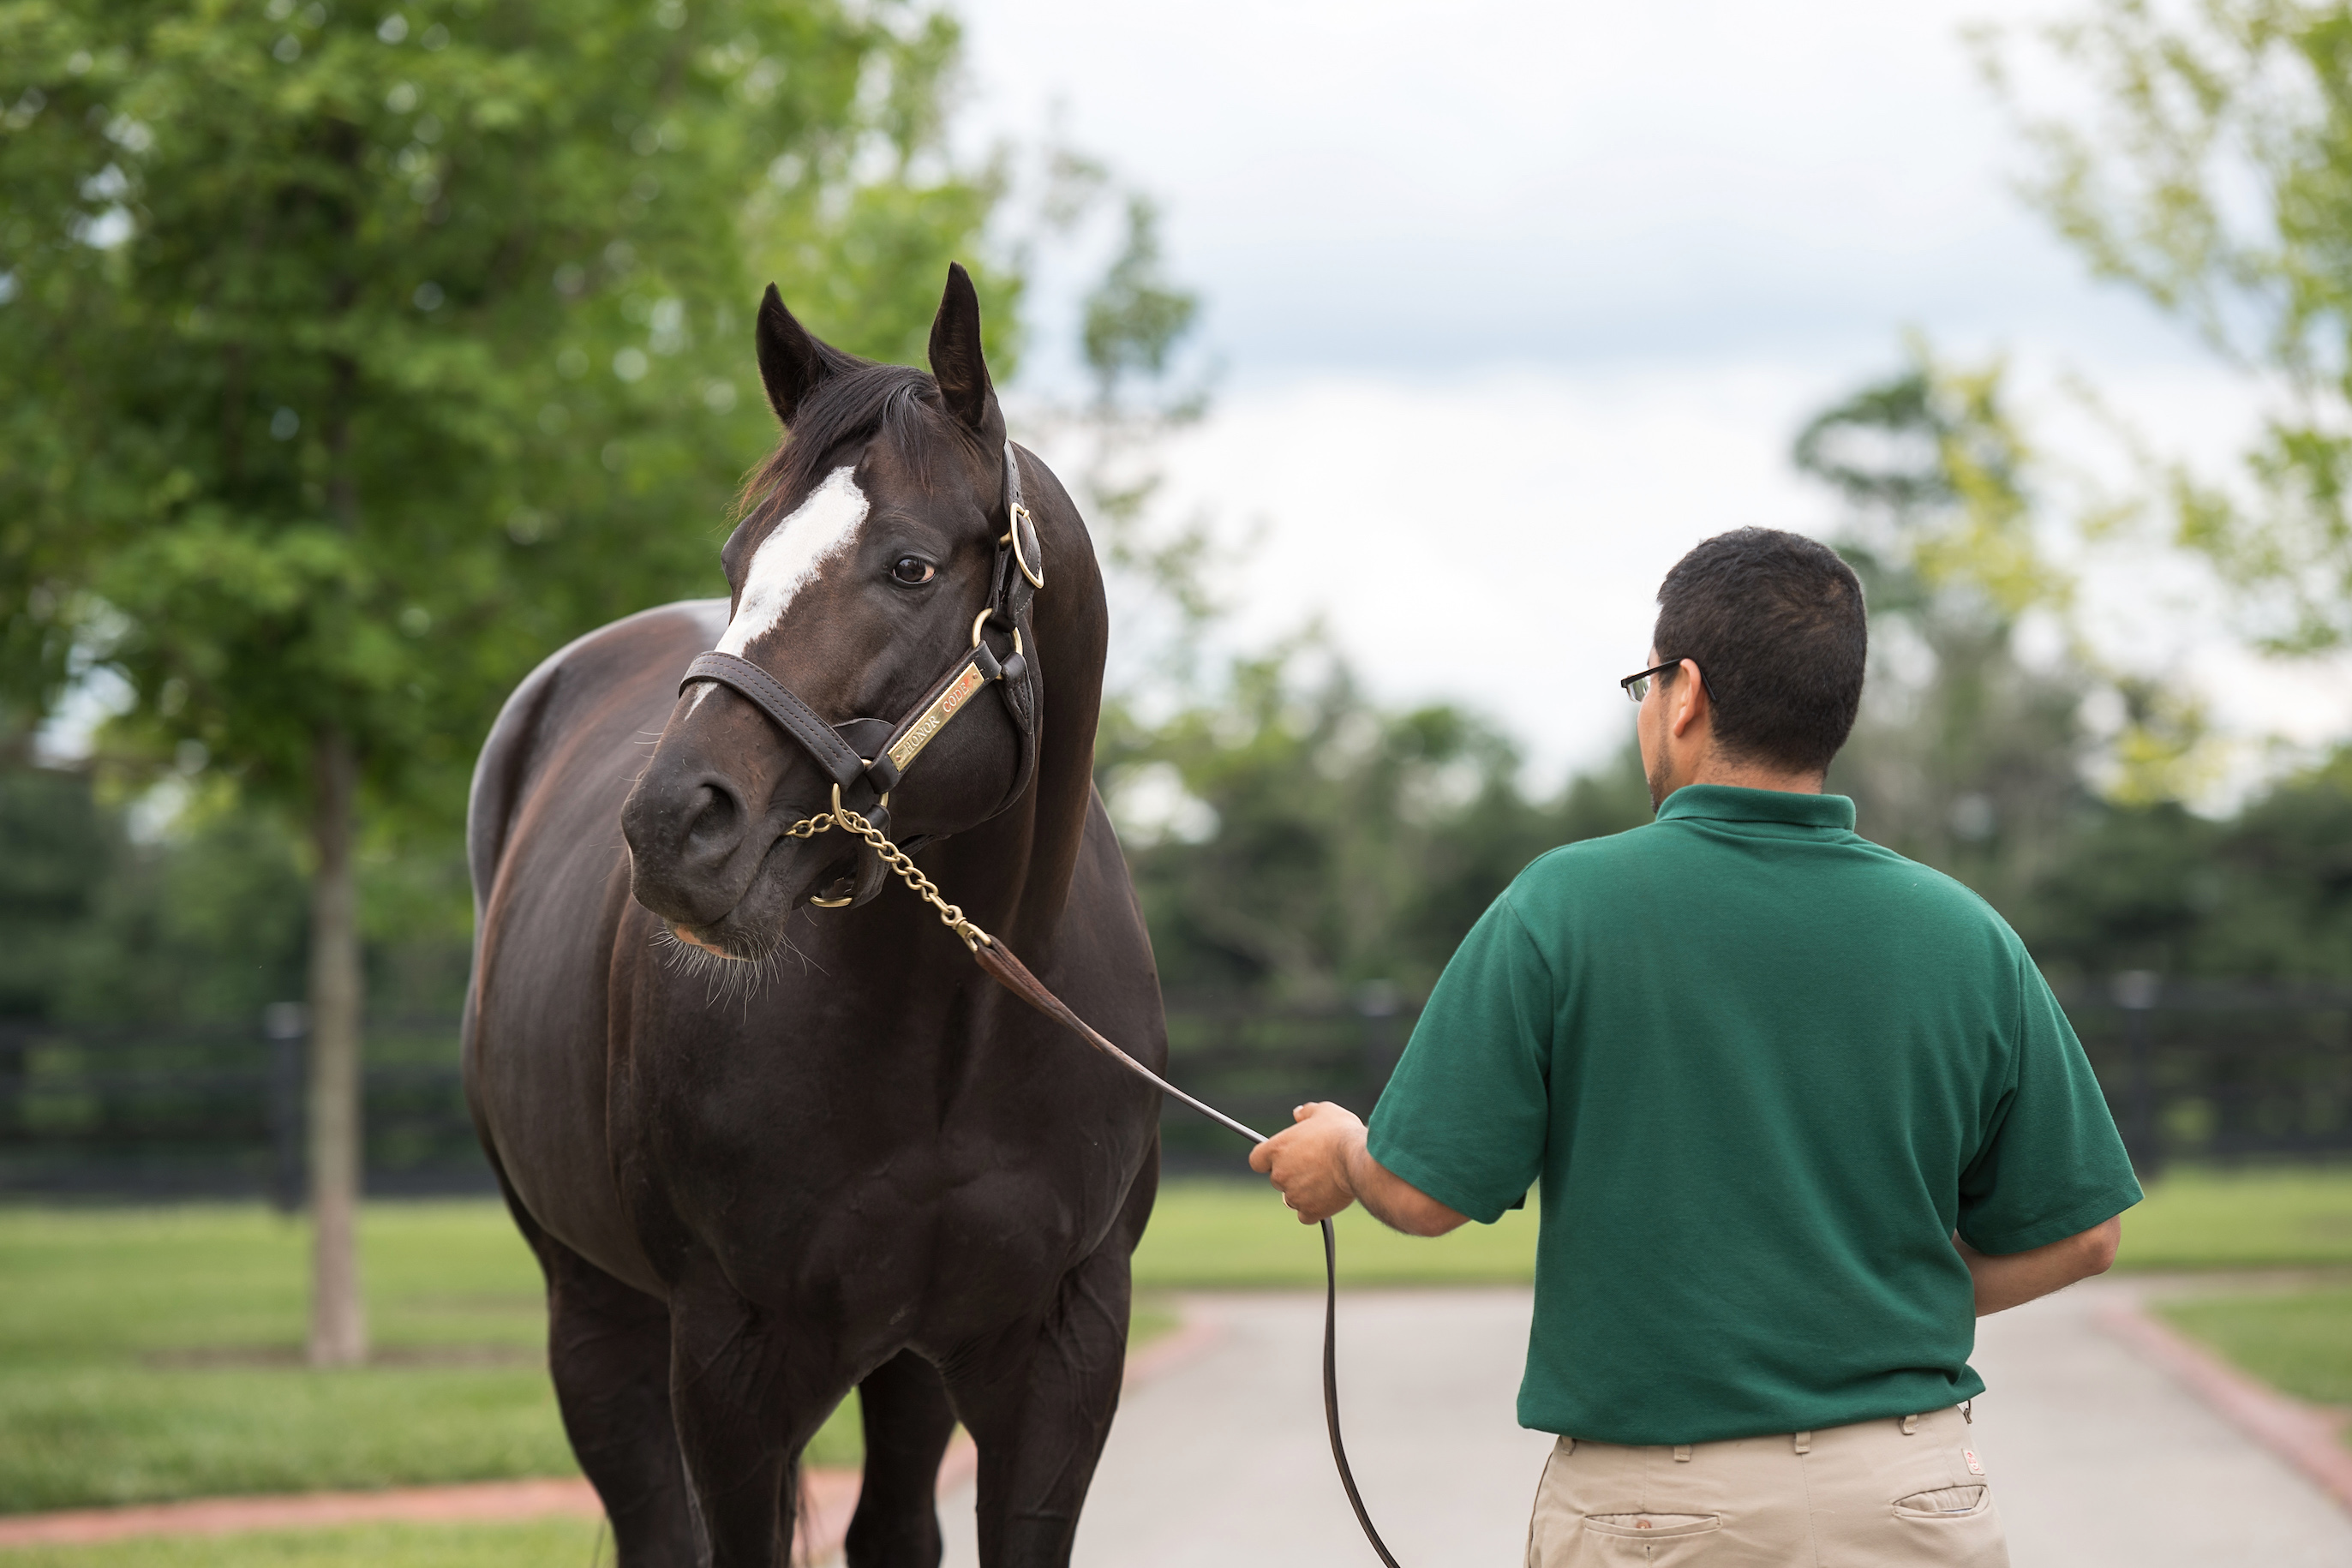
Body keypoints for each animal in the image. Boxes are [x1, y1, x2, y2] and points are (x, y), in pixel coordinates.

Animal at [458, 263, 1166, 1560]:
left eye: (910, 566)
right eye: (740, 557)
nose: (674, 824)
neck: (955, 1032)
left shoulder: (1061, 1353)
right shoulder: (734, 1366)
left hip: (906, 1364)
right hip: (593, 1314)